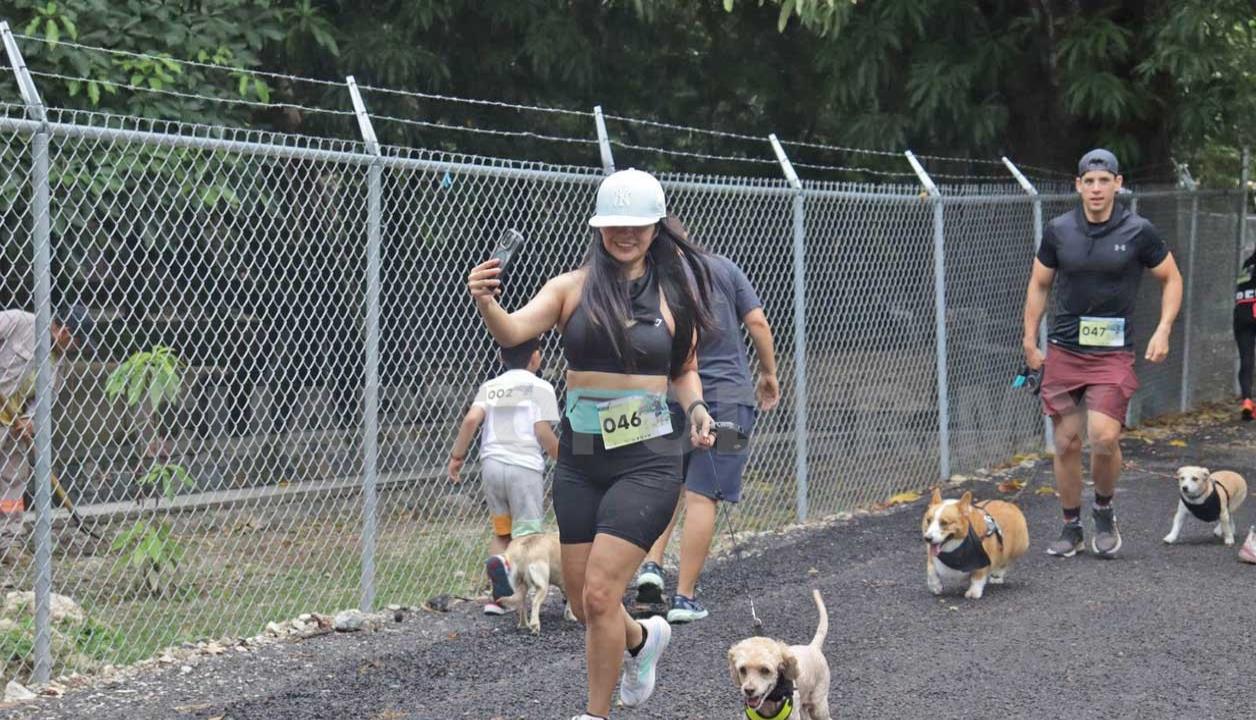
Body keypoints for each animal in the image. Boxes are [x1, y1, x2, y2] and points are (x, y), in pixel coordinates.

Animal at [733, 585, 828, 713]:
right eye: (742, 669)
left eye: (765, 670)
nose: (749, 690)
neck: (769, 702)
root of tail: (812, 647)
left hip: (819, 706)